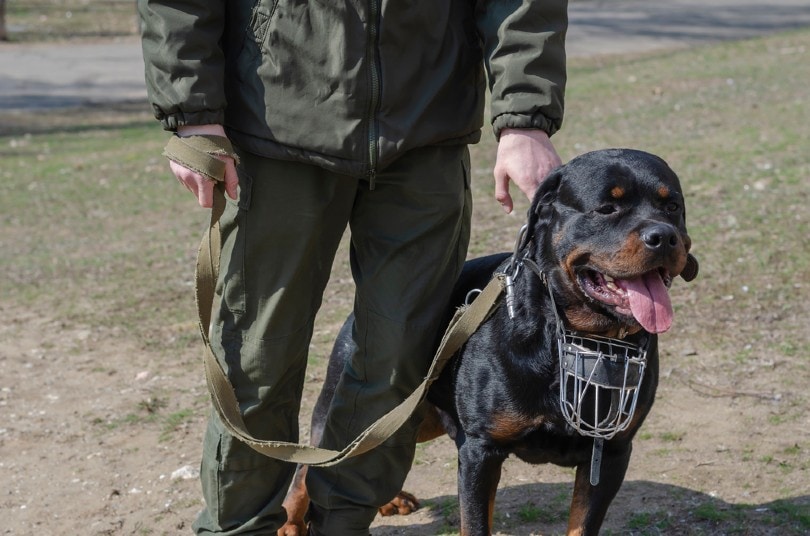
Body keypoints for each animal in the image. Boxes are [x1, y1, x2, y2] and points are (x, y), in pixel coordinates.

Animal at [276, 149, 696, 536]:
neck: (573, 337)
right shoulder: (480, 450)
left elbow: (582, 525)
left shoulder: (611, 453)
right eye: (607, 207)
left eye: (672, 206)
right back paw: (290, 523)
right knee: (312, 465)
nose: (664, 236)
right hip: (354, 402)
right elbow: (476, 523)